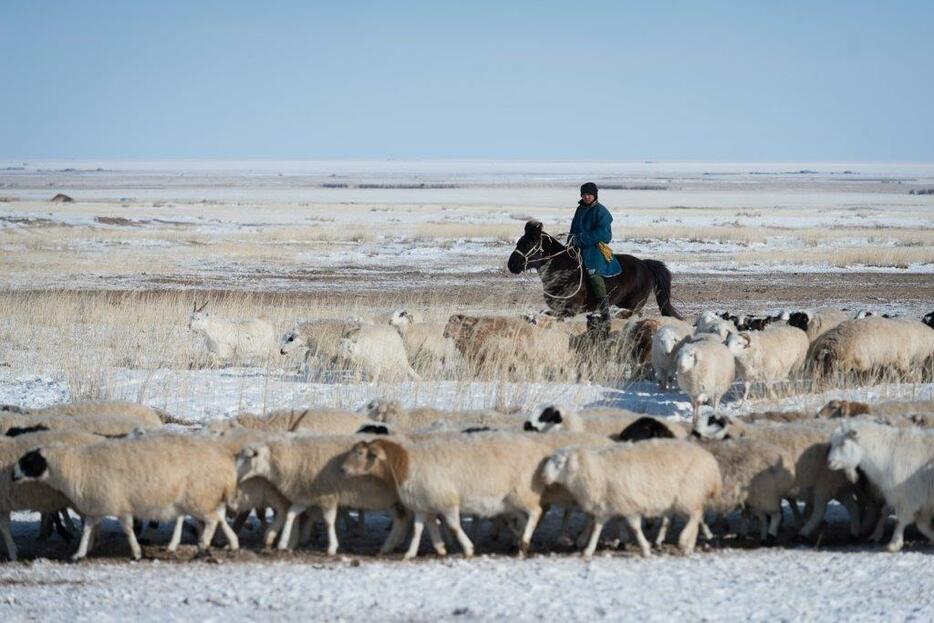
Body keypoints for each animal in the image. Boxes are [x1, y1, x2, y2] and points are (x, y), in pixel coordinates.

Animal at [508, 221, 684, 320]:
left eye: (529, 243)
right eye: (519, 241)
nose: (511, 264)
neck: (563, 269)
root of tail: (645, 264)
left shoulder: (569, 310)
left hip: (634, 303)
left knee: (631, 313)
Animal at [828, 422, 934, 552]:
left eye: (843, 443)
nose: (829, 462)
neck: (887, 454)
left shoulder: (908, 497)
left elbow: (901, 520)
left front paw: (893, 544)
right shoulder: (923, 501)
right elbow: (921, 524)